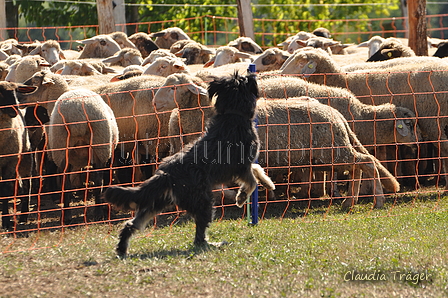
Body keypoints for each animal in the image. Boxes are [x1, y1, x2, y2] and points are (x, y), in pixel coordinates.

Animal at [47, 88, 118, 224]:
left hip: (62, 148)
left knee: (66, 184)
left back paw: (67, 216)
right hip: (99, 145)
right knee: (98, 182)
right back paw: (98, 213)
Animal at [103, 72, 274, 256]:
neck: (232, 114)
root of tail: (165, 174)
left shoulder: (242, 166)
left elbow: (257, 170)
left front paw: (268, 183)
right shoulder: (240, 167)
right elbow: (252, 181)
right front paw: (241, 197)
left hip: (155, 202)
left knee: (131, 225)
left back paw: (122, 249)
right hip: (202, 201)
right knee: (199, 234)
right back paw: (213, 244)